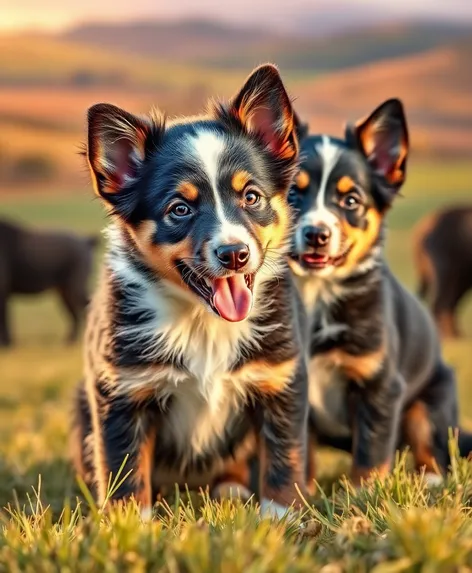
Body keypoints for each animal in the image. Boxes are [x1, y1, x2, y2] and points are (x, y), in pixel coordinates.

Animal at [72, 63, 310, 520]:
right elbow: (125, 469)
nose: (234, 254)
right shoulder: (121, 393)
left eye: (251, 196)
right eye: (179, 209)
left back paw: (232, 490)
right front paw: (129, 525)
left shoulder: (279, 381)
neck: (202, 321)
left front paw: (282, 517)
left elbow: (283, 457)